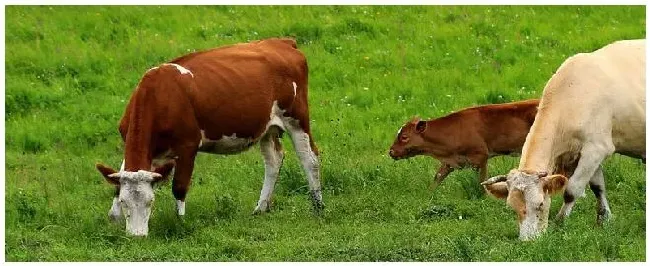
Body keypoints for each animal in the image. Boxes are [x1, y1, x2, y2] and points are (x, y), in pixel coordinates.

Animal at [93, 38, 322, 236]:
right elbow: (118, 181)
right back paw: (260, 208)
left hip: (297, 118)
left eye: (151, 201)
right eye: (124, 202)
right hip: (266, 127)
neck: (158, 96)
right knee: (274, 160)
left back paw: (318, 206)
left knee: (310, 158)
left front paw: (180, 222)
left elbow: (179, 187)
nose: (137, 236)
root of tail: (281, 42)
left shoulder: (188, 145)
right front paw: (113, 219)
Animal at [388, 99, 536, 189]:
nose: (391, 151)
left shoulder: (480, 157)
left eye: (404, 137)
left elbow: (481, 180)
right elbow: (438, 177)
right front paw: (428, 195)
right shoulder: (449, 161)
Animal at [480, 39, 644, 241]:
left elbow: (572, 190)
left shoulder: (596, 148)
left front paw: (560, 223)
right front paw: (604, 219)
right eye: (513, 207)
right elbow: (598, 186)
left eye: (540, 204)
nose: (528, 242)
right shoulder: (583, 153)